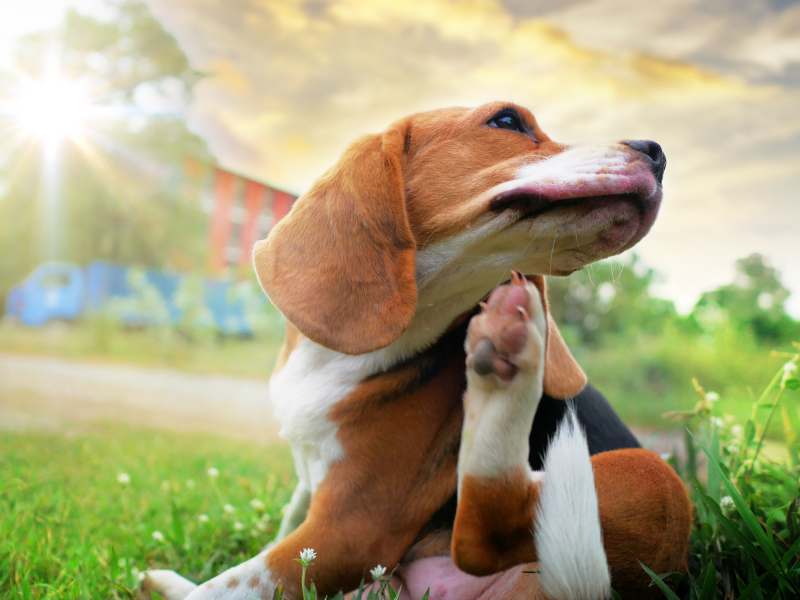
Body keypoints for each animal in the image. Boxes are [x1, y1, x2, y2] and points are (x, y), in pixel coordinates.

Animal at [144, 103, 692, 600]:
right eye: (507, 121)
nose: (658, 153)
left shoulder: (349, 530)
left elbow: (224, 586)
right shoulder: (310, 495)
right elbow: (274, 536)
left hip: (654, 476)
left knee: (486, 535)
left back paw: (509, 372)